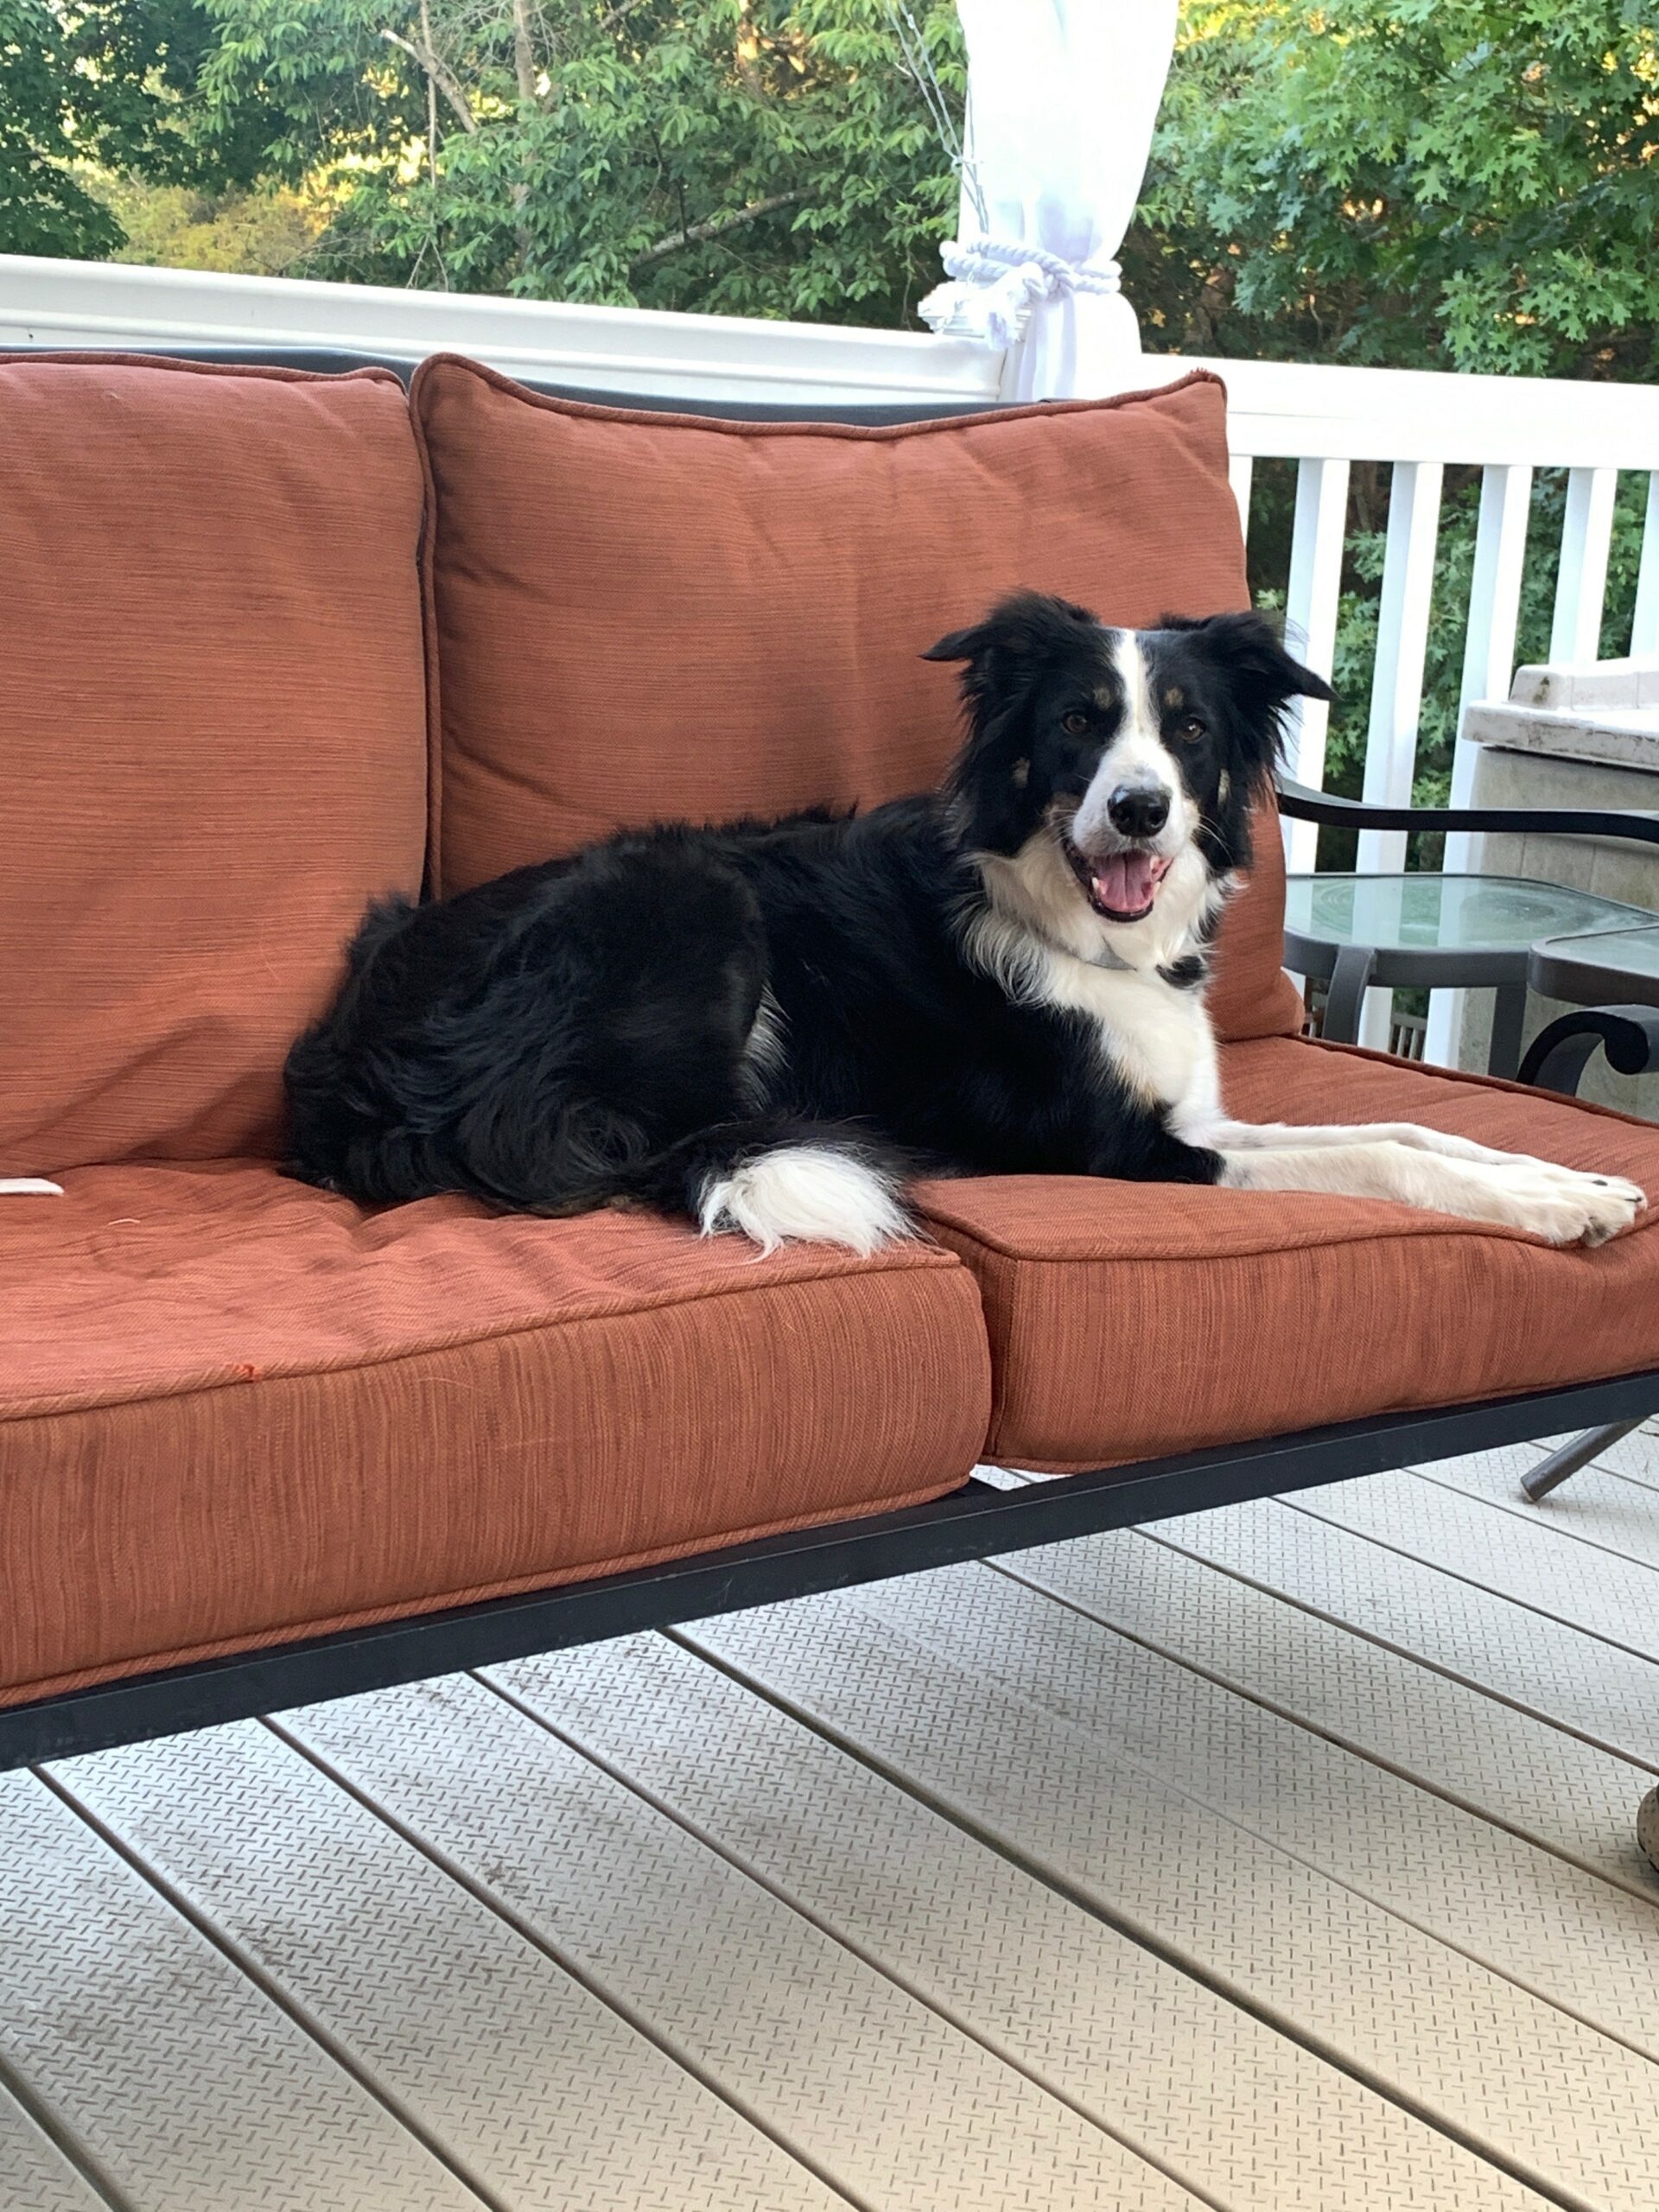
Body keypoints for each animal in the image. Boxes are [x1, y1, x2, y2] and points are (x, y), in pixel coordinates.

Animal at [285, 597, 1654, 1256]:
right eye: (1077, 724)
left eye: (1189, 730)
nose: (1141, 809)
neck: (1079, 933)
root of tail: (353, 1066)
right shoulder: (1127, 1150)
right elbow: (1382, 1159)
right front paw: (1557, 1211)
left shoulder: (1199, 1115)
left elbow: (1412, 1125)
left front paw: (1573, 1178)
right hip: (697, 900)